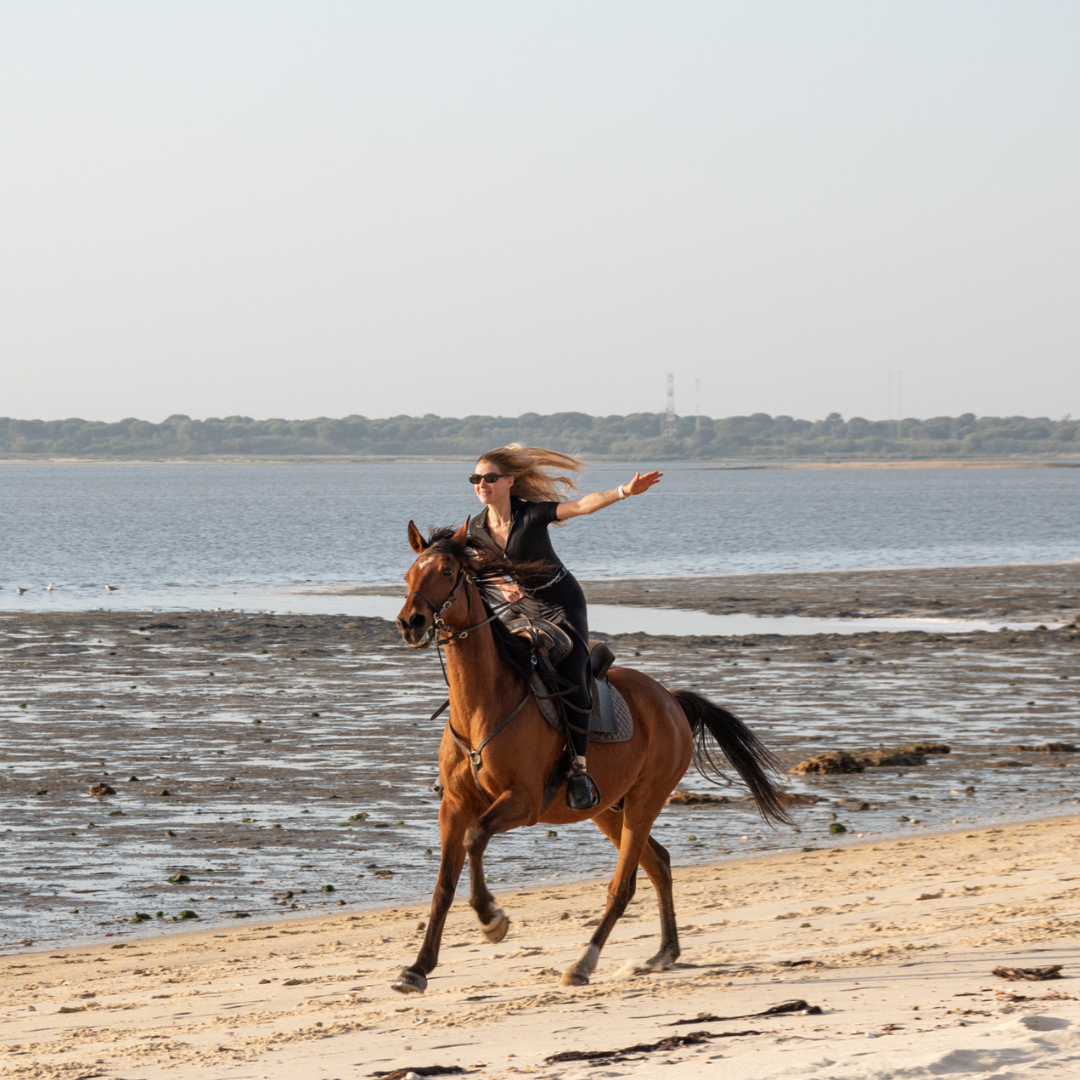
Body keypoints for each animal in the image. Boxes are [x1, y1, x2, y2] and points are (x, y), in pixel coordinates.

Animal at [393, 522, 790, 993]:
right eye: (408, 574)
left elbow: (475, 838)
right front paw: (417, 968)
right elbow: (443, 887)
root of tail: (671, 699)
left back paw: (584, 962)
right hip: (607, 809)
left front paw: (492, 919)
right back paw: (664, 953)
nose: (410, 622)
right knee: (658, 864)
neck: (481, 707)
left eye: (449, 570)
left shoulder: (522, 802)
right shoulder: (453, 806)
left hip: (643, 802)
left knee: (624, 885)